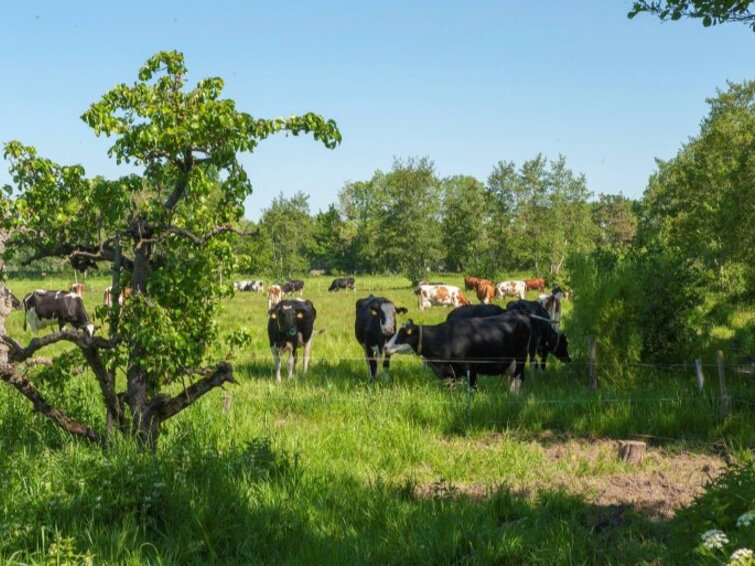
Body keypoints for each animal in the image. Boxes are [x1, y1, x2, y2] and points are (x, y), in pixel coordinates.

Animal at [386, 310, 568, 394]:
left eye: (402, 334)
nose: (386, 346)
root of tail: (518, 313)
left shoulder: (470, 368)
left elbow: (471, 389)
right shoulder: (452, 372)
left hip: (521, 358)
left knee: (518, 379)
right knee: (511, 381)